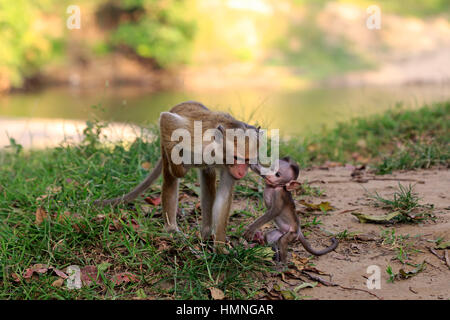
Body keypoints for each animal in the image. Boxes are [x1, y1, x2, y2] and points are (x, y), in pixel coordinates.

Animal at [93, 102, 258, 245]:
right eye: (236, 157)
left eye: (248, 160)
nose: (242, 171)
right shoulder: (196, 140)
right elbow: (167, 121)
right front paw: (180, 170)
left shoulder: (228, 169)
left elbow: (223, 196)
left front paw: (220, 246)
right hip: (164, 143)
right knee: (171, 178)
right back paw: (171, 228)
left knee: (208, 177)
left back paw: (206, 231)